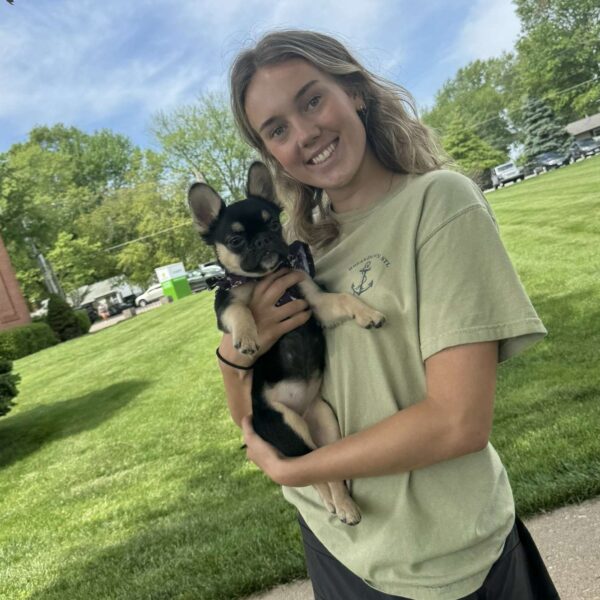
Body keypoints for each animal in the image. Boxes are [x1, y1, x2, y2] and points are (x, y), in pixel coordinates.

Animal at [188, 162, 384, 524]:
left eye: (274, 224)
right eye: (235, 239)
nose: (265, 239)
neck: (265, 278)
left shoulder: (314, 300)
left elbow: (343, 298)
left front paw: (368, 313)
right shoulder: (225, 305)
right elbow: (240, 311)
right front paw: (248, 337)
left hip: (324, 422)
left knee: (325, 467)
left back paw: (343, 505)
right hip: (288, 424)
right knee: (314, 469)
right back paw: (339, 505)